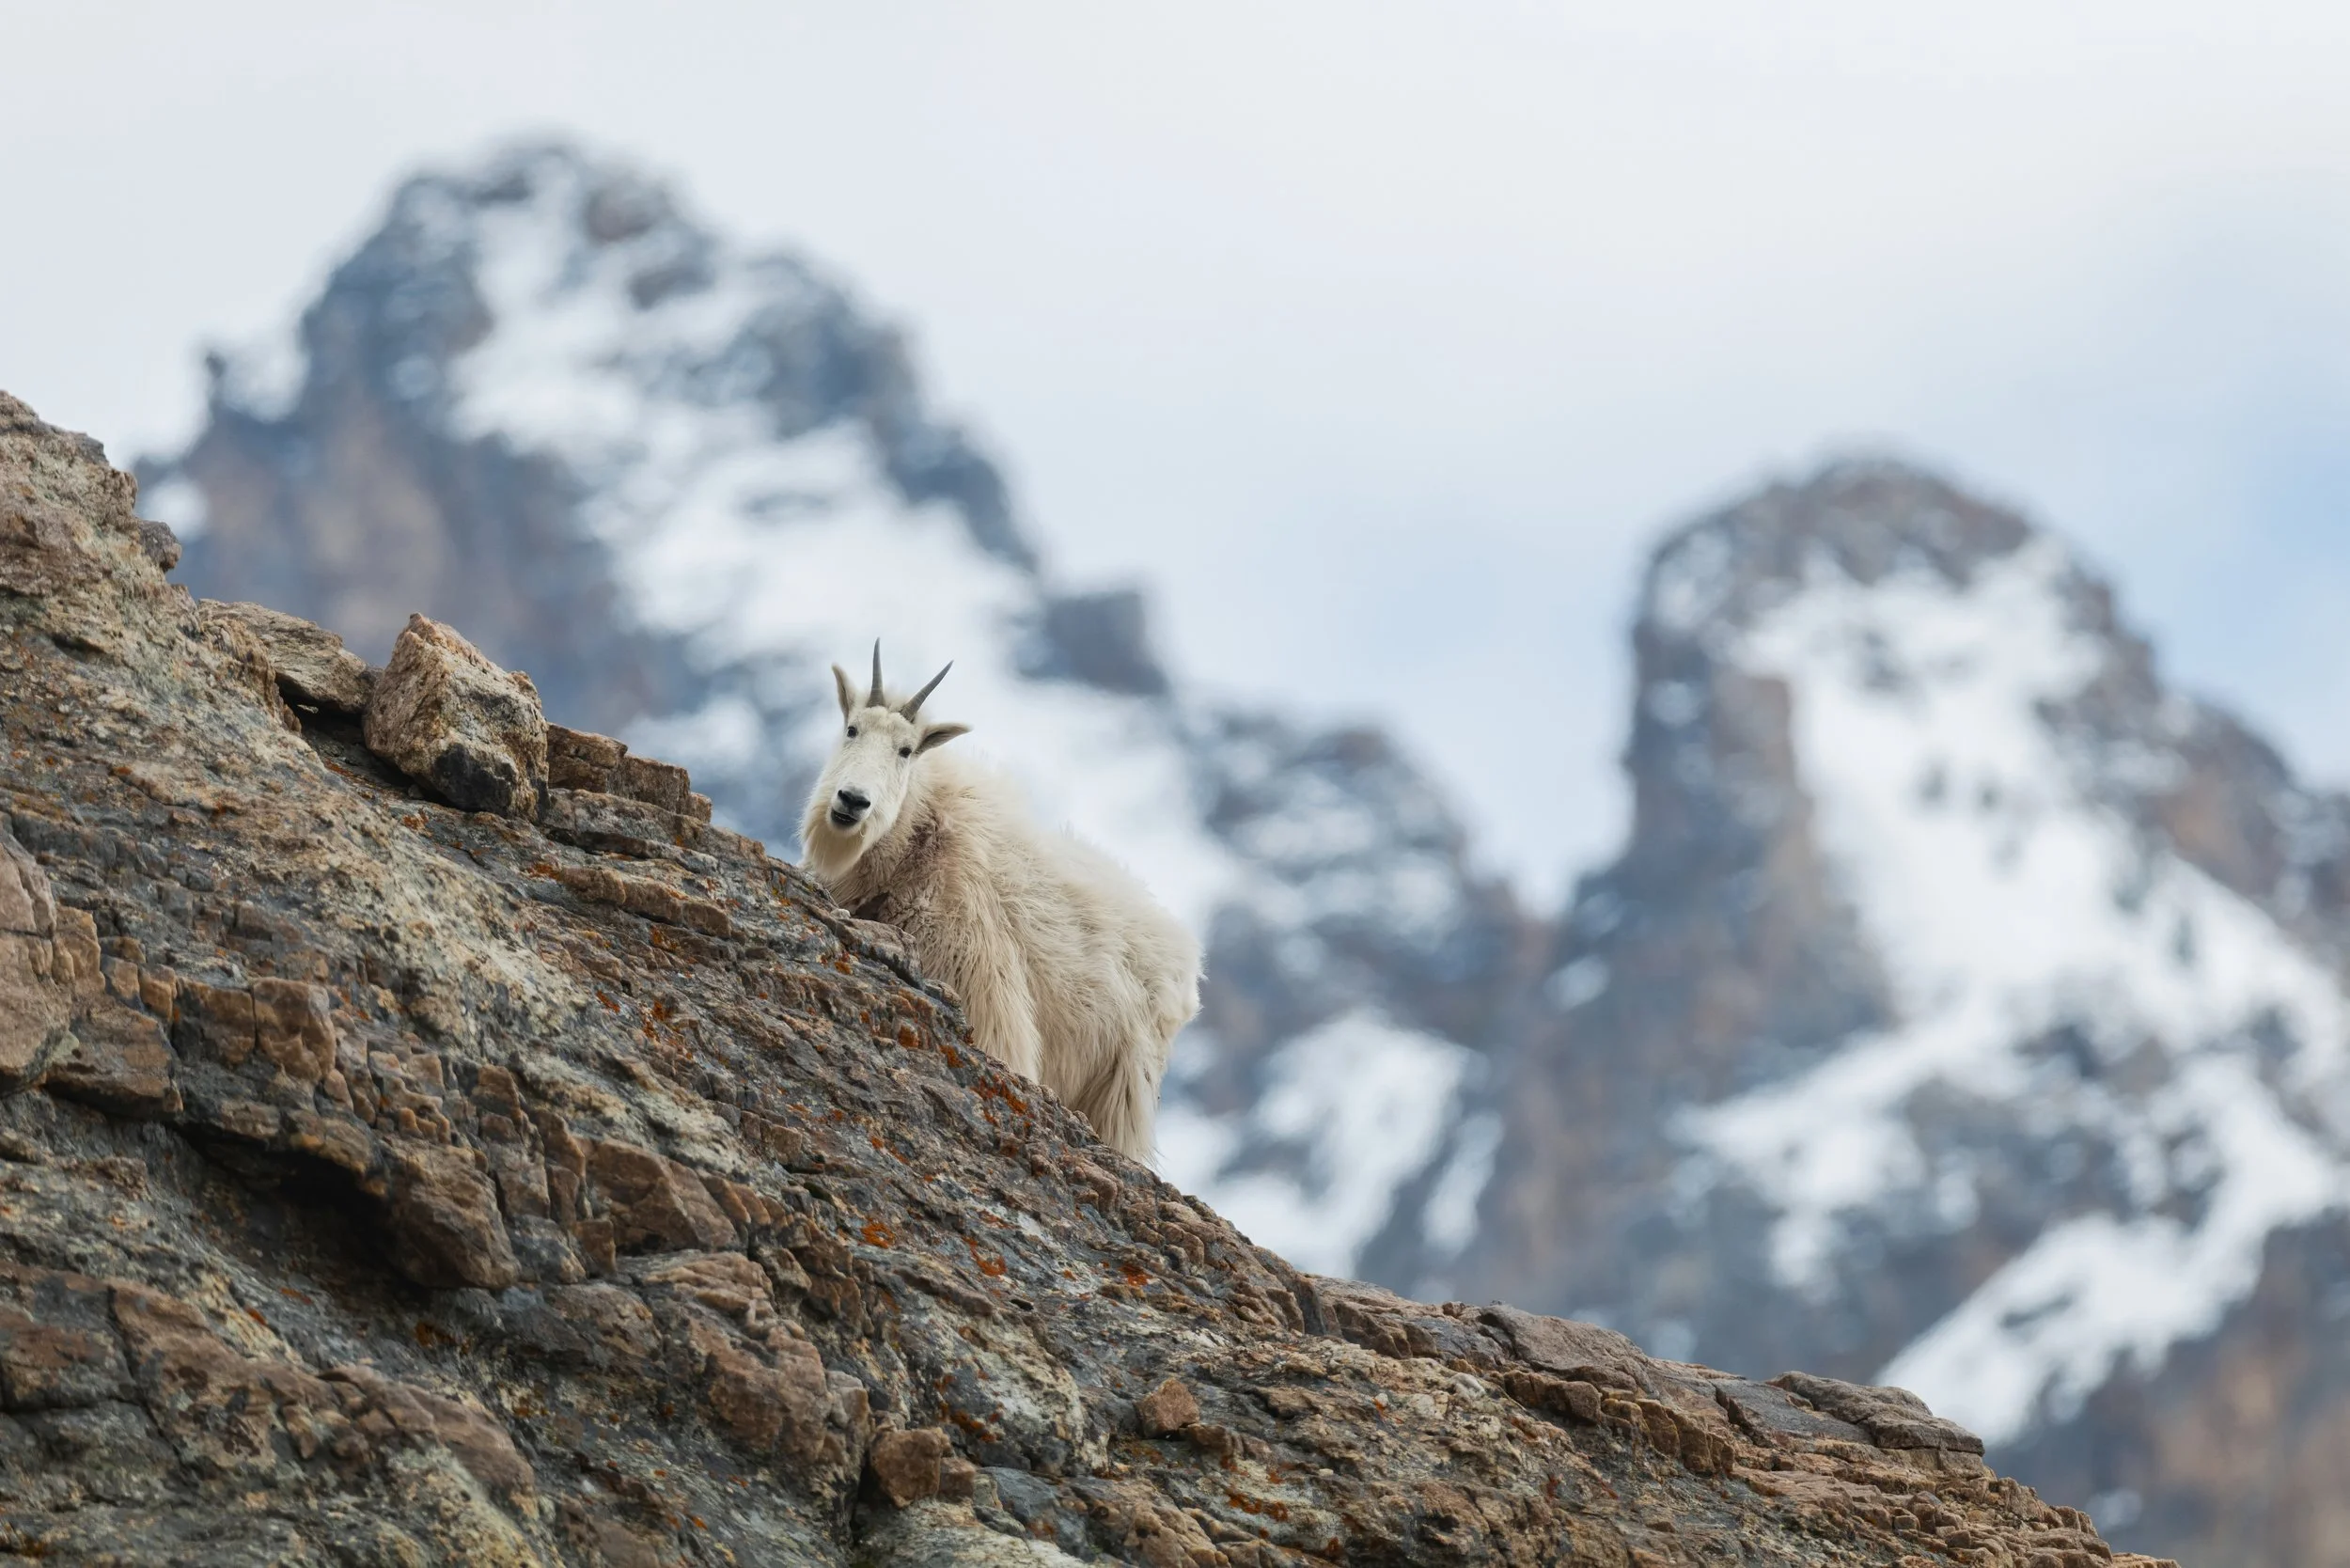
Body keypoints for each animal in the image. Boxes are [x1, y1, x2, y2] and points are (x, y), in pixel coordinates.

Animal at [797, 645, 1201, 1162]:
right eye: (851, 729)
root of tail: (1189, 965)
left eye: (906, 750)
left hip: (1125, 1083)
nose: (852, 801)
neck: (917, 837)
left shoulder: (981, 979)